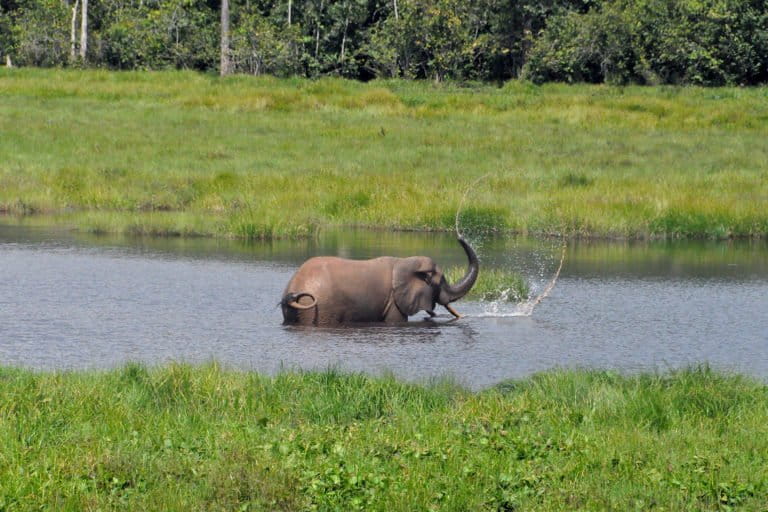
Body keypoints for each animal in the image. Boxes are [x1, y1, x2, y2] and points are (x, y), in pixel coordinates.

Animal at [280, 238, 476, 326]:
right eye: (440, 281)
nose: (459, 237)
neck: (404, 262)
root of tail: (294, 291)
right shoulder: (394, 301)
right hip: (319, 308)